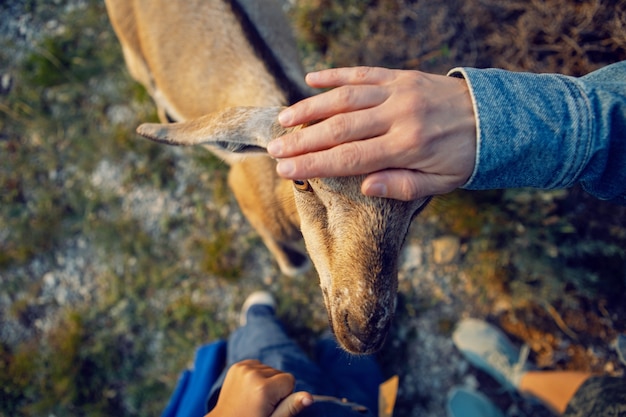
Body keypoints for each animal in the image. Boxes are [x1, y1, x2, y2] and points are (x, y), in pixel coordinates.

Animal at [106, 0, 428, 354]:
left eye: (421, 203)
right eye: (301, 180)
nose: (364, 330)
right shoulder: (243, 192)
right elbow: (290, 262)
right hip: (129, 45)